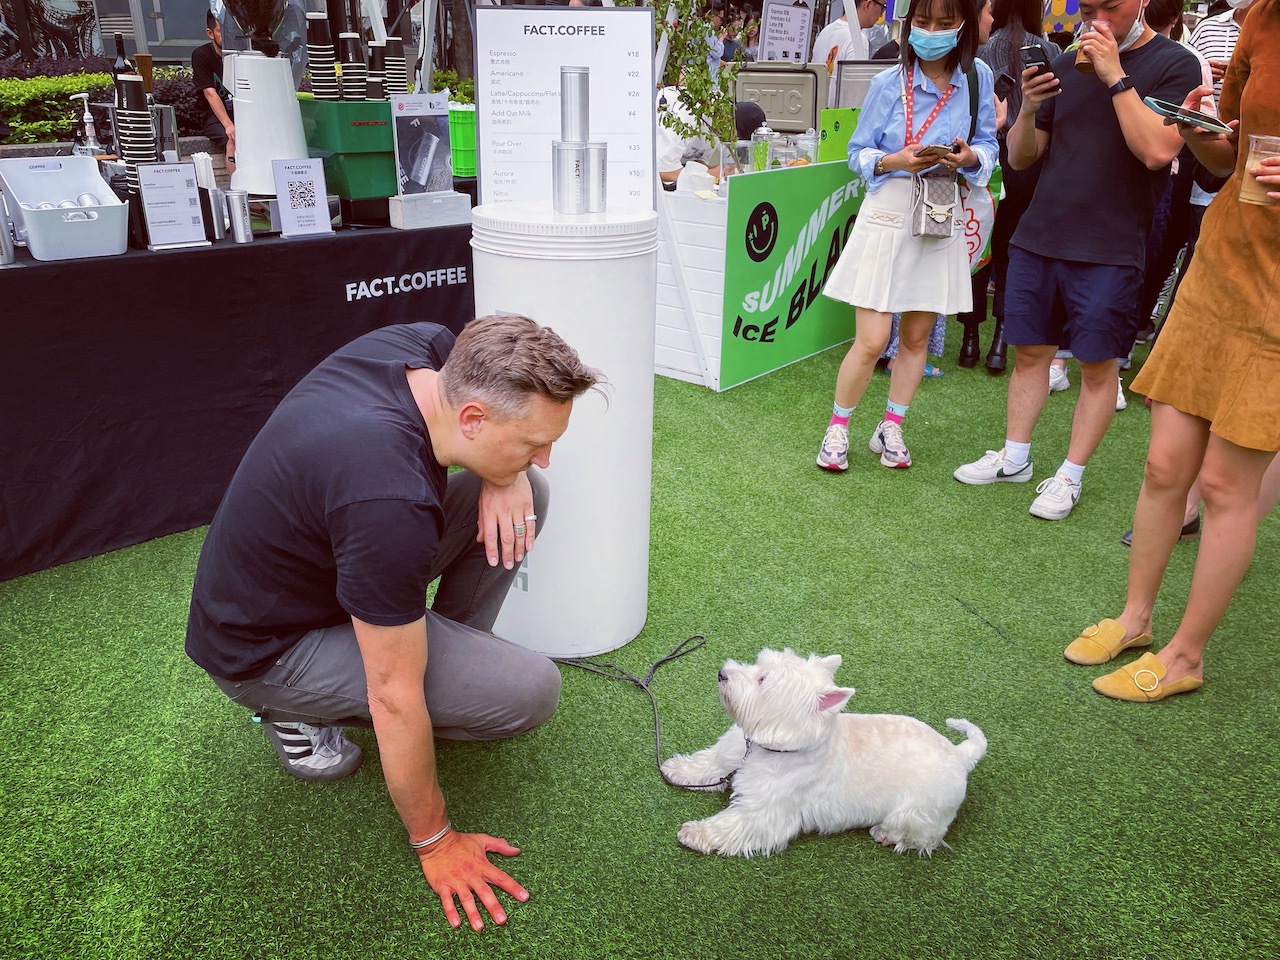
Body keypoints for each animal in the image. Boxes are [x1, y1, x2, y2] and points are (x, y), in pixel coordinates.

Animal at [665, 650, 983, 860]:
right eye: (757, 664)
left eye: (762, 680)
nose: (722, 673)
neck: (772, 747)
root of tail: (959, 754)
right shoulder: (732, 757)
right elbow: (709, 763)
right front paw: (677, 770)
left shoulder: (765, 812)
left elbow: (731, 823)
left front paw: (696, 833)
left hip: (917, 811)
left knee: (922, 837)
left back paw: (884, 834)